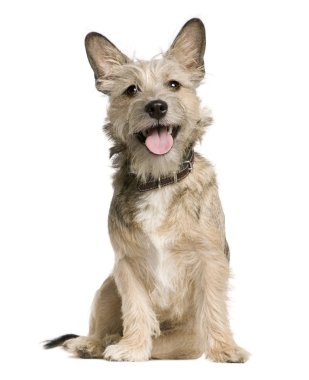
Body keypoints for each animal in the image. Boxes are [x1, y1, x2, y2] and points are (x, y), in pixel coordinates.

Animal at [44, 17, 248, 362]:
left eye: (174, 85)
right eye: (131, 90)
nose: (156, 107)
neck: (159, 178)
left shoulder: (210, 261)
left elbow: (214, 308)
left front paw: (224, 348)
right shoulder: (127, 266)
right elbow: (137, 309)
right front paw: (132, 346)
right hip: (106, 288)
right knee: (102, 326)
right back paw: (90, 342)